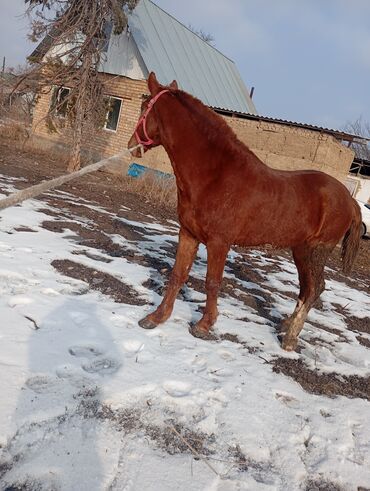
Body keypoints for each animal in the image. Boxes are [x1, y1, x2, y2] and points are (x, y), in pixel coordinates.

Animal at [128, 71, 362, 352]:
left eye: (144, 106)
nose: (132, 146)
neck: (215, 175)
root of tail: (349, 200)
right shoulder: (188, 234)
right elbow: (177, 275)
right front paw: (156, 318)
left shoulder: (219, 242)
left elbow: (212, 282)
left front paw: (204, 326)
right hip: (300, 250)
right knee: (308, 288)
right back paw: (286, 325)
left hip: (315, 251)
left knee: (314, 288)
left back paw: (290, 338)